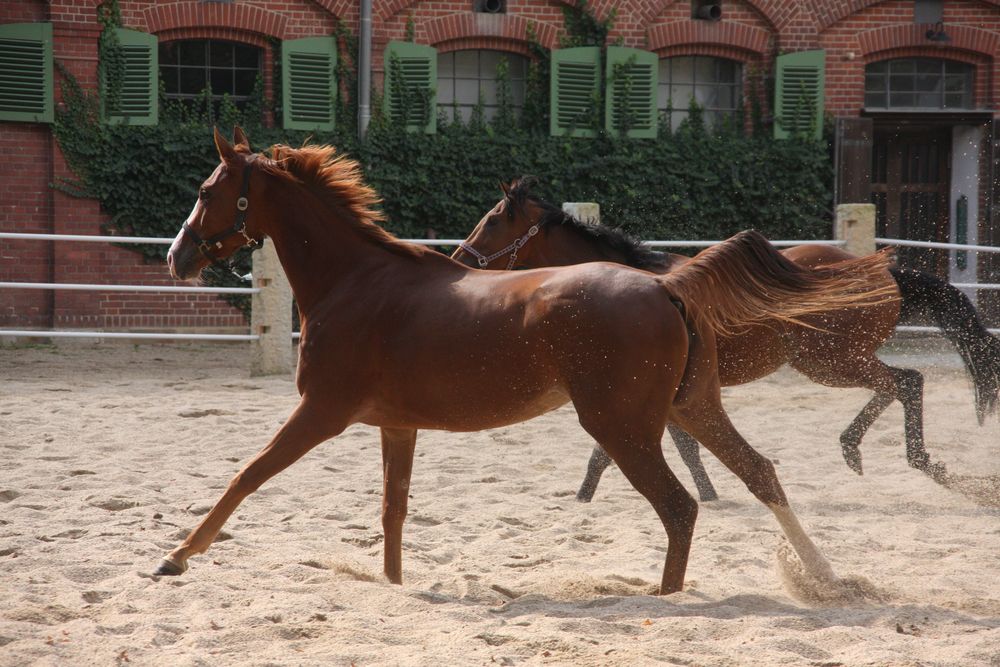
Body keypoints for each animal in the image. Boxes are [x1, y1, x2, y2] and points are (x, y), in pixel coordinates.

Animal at [162, 129, 900, 596]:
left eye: (204, 189)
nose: (177, 256)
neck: (357, 281)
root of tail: (666, 286)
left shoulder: (320, 411)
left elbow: (247, 475)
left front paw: (175, 557)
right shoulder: (395, 425)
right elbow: (393, 509)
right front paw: (394, 584)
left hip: (621, 425)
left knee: (680, 505)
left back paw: (664, 598)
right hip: (691, 406)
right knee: (759, 473)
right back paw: (826, 580)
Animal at [454, 180, 1000, 504]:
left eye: (493, 220)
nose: (460, 260)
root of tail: (886, 273)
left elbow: (619, 449)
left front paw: (584, 496)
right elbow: (676, 446)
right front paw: (706, 490)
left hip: (830, 361)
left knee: (907, 381)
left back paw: (907, 461)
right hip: (836, 360)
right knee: (899, 384)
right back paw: (869, 453)